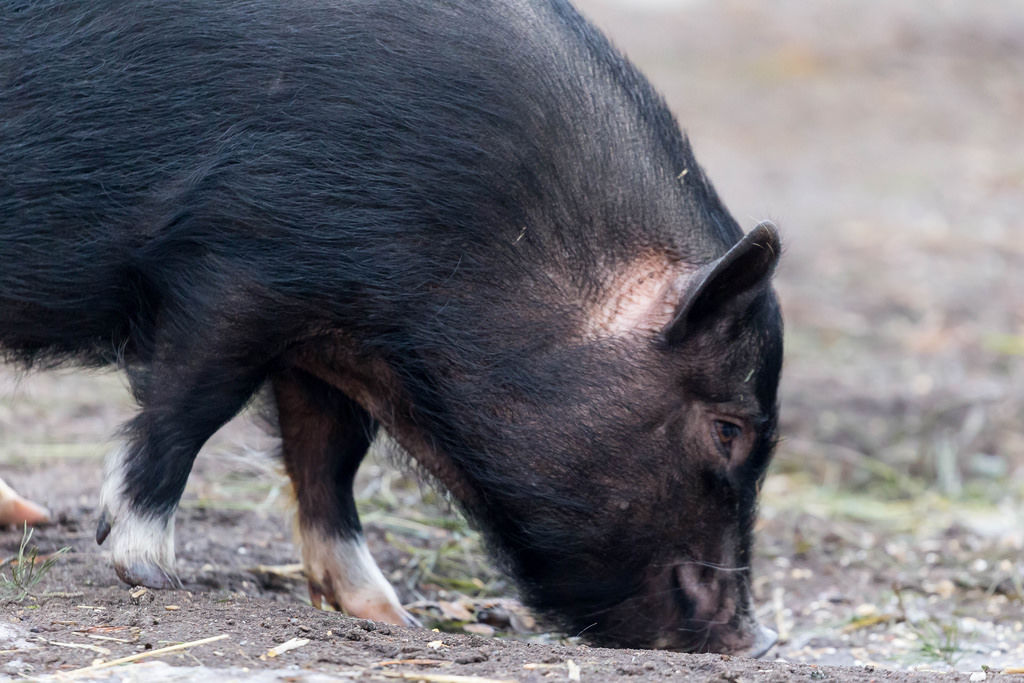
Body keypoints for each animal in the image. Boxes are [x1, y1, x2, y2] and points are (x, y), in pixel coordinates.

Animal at [0, 0, 783, 655]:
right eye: (729, 430)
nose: (758, 641)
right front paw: (151, 572)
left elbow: (329, 459)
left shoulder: (322, 338)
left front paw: (392, 619)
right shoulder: (233, 267)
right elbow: (191, 409)